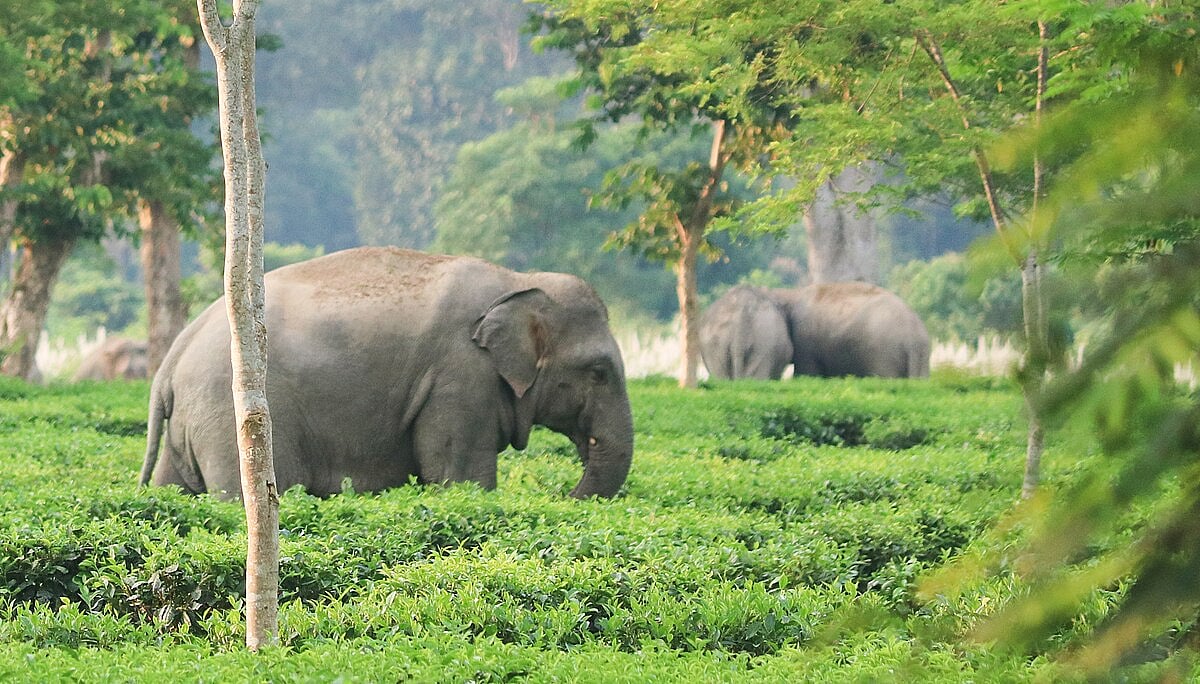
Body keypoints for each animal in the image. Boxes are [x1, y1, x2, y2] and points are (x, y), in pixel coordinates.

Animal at [140, 246, 633, 501]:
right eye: (599, 371)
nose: (561, 497)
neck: (517, 279)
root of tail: (171, 361)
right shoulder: (460, 377)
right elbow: (457, 473)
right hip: (229, 419)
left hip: (193, 423)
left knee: (175, 487)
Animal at [769, 282, 930, 378]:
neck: (791, 294)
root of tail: (913, 338)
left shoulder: (805, 343)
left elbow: (807, 373)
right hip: (921, 359)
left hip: (885, 355)